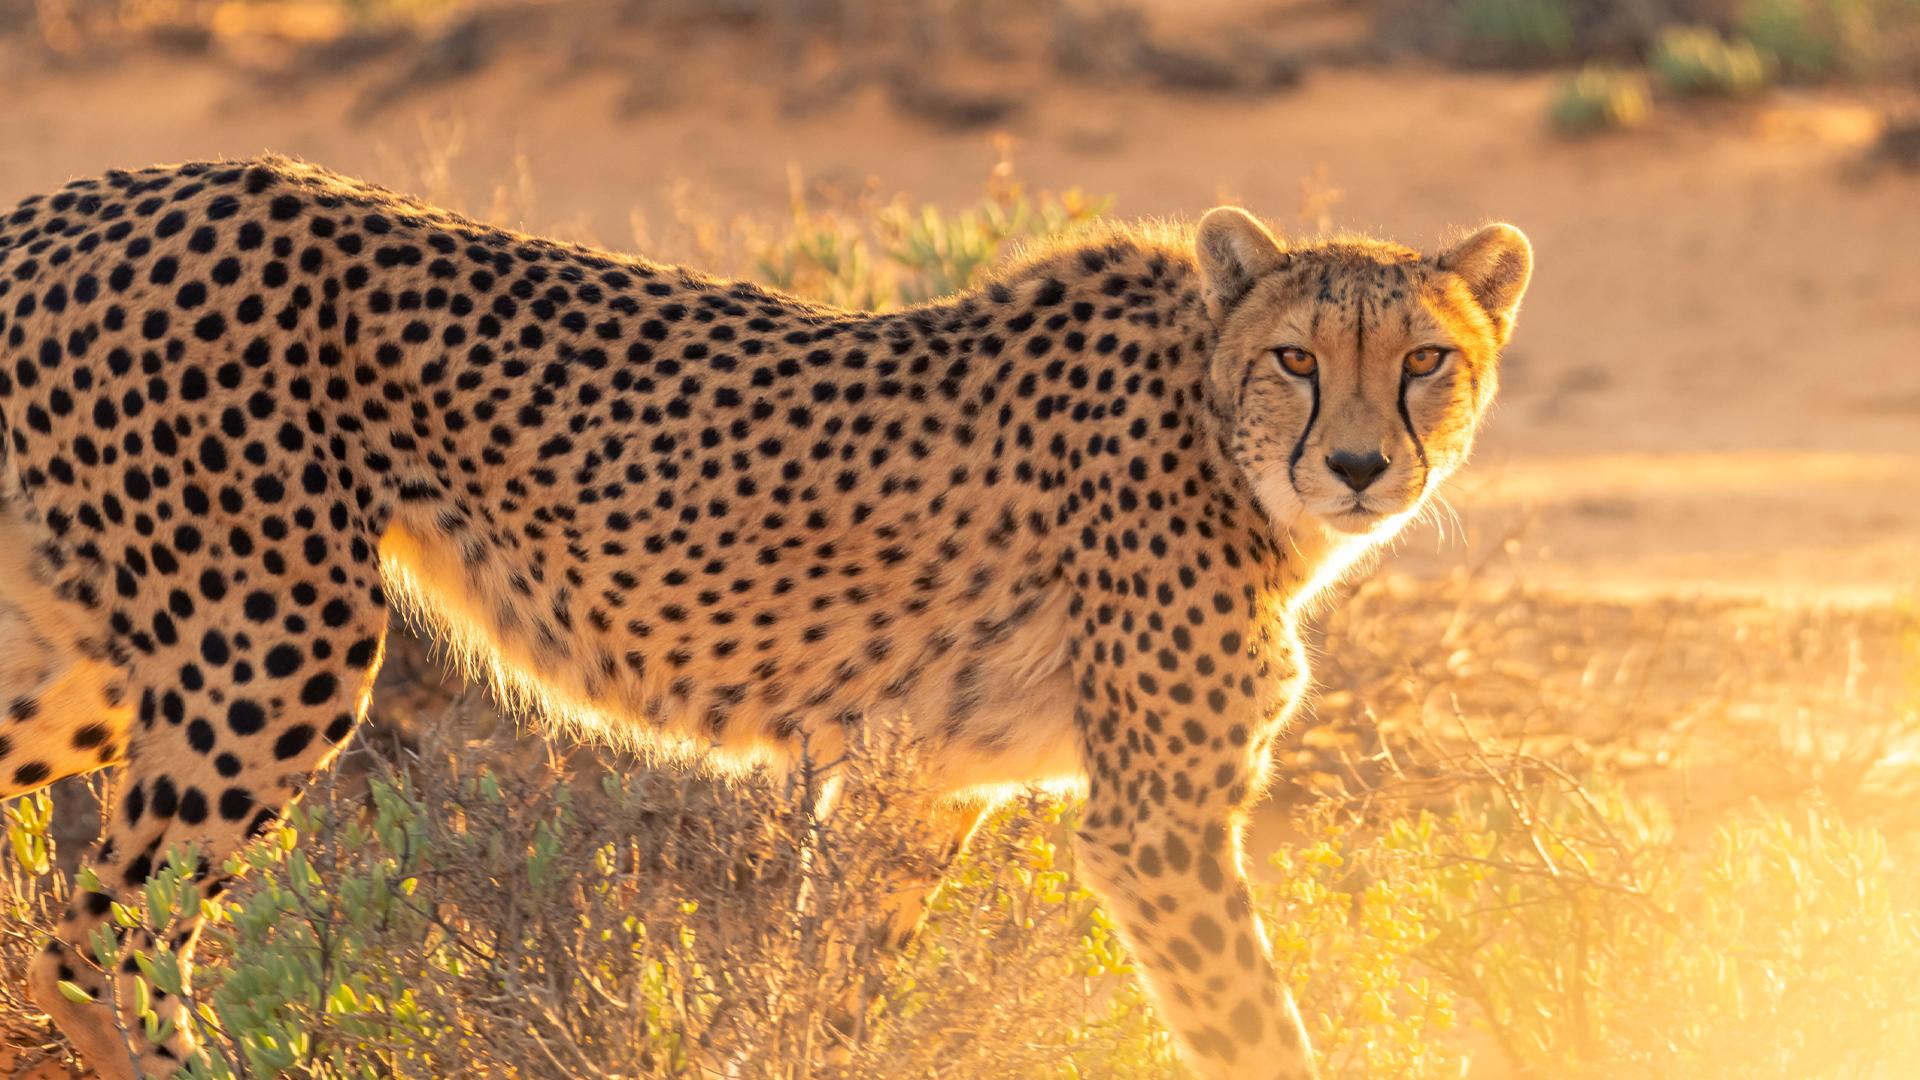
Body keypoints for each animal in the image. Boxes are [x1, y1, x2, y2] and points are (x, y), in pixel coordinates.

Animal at [0, 155, 1528, 1068]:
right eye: (1297, 357)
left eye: (1425, 360)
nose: (1359, 466)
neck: (1214, 423)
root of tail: (93, 194)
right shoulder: (1156, 825)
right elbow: (1254, 1025)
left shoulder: (923, 786)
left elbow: (831, 991)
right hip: (275, 642)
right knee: (104, 931)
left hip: (100, 657)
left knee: (78, 912)